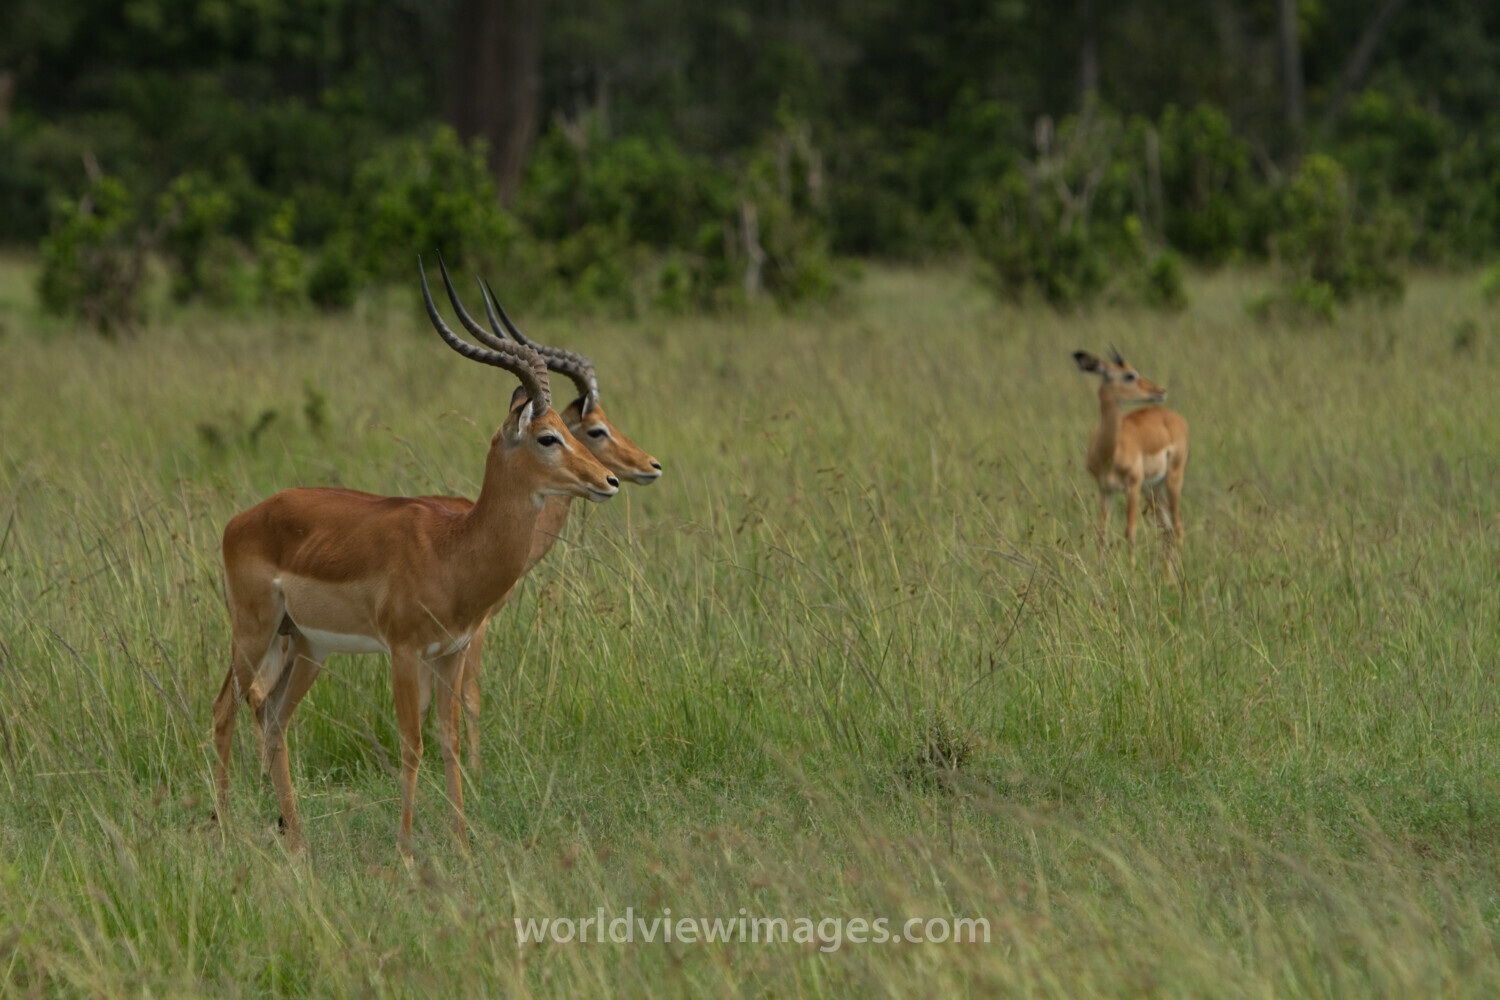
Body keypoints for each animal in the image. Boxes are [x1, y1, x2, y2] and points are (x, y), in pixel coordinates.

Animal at [212, 257, 620, 857]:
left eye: (574, 432)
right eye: (549, 437)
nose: (608, 480)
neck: (453, 549)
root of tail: (243, 519)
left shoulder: (450, 652)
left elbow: (448, 742)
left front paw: (462, 845)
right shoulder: (404, 654)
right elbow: (411, 744)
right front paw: (405, 851)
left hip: (306, 645)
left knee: (275, 721)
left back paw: (297, 839)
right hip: (254, 631)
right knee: (226, 711)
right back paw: (226, 830)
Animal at [1072, 348, 1189, 555]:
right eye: (1129, 375)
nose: (1160, 391)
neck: (1108, 455)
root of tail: (1175, 418)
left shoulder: (1132, 486)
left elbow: (1130, 534)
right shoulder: (1105, 489)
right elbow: (1102, 534)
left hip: (1172, 478)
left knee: (1177, 524)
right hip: (1151, 489)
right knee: (1167, 528)